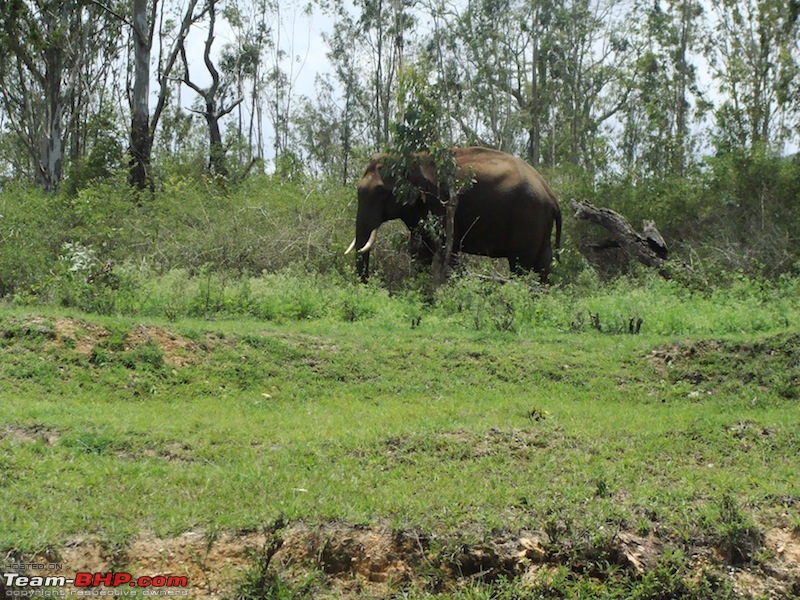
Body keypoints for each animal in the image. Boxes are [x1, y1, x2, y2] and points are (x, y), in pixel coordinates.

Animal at [346, 147, 564, 284]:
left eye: (381, 192)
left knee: (521, 265)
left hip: (528, 220)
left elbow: (443, 250)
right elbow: (420, 251)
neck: (413, 156)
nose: (365, 286)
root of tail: (552, 196)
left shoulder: (441, 203)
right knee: (543, 267)